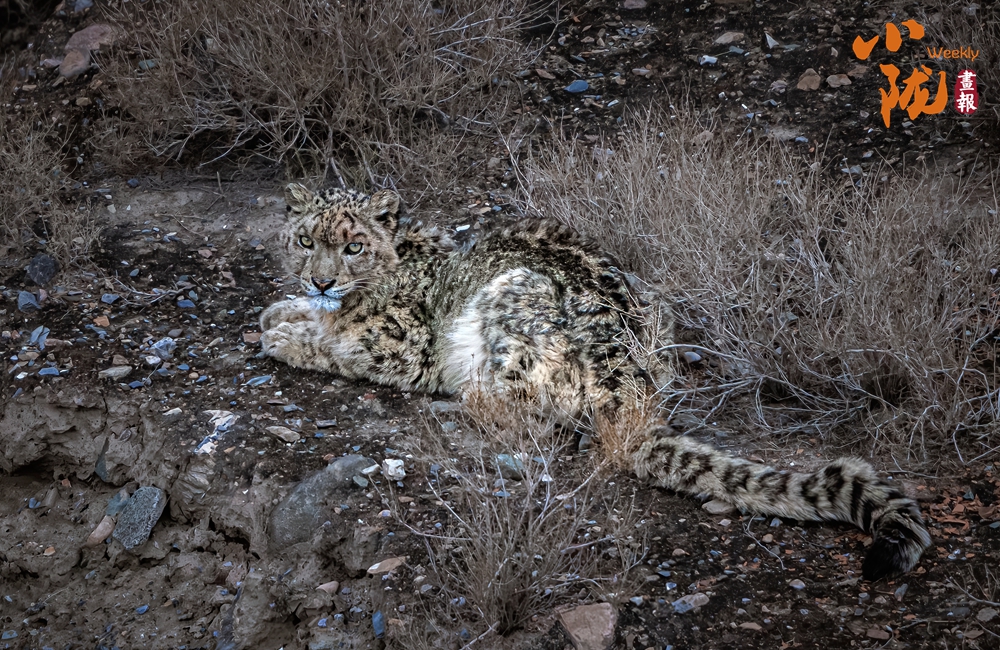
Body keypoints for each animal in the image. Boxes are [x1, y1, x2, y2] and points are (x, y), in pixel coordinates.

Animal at [260, 182, 931, 581]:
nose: (320, 279)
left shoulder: (400, 344)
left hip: (511, 311)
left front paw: (283, 335)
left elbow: (338, 345)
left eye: (353, 246)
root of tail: (634, 386)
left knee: (534, 418)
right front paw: (280, 311)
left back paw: (463, 403)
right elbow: (313, 318)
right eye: (304, 239)